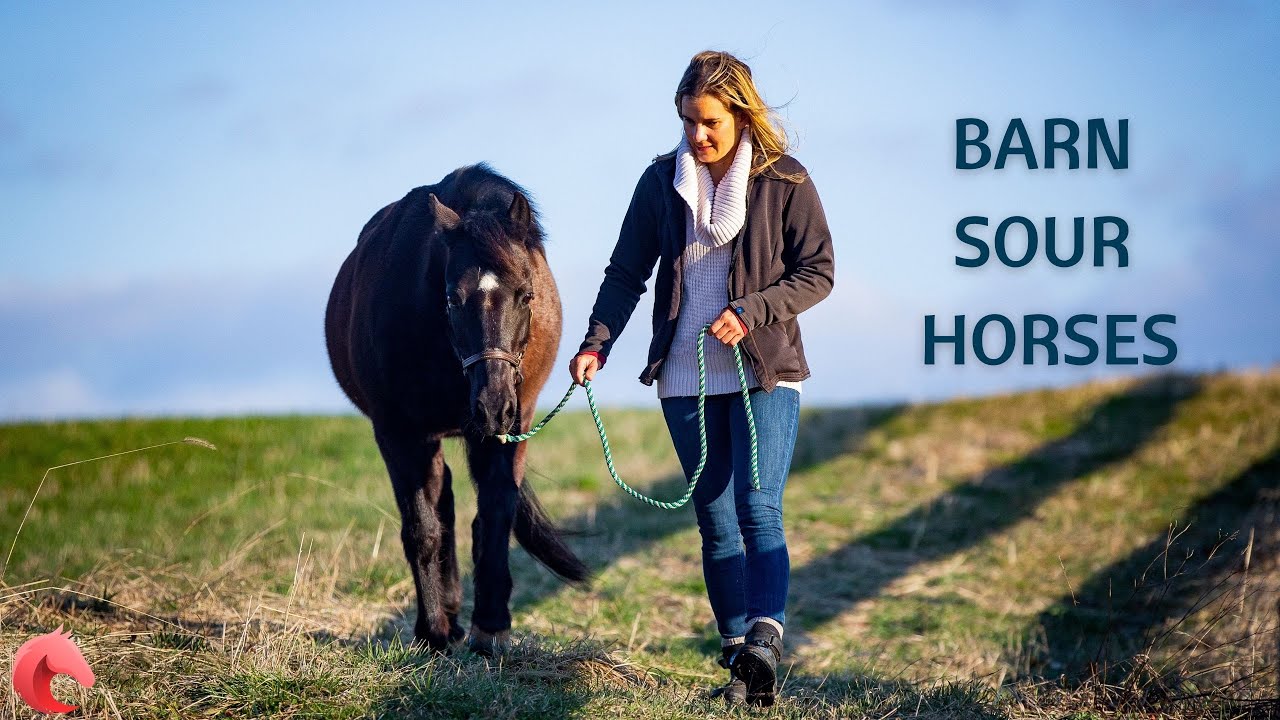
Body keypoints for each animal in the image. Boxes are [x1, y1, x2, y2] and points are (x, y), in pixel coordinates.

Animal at [325, 164, 592, 656]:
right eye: (451, 298)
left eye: (526, 295)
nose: (492, 406)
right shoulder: (397, 432)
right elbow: (421, 527)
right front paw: (433, 632)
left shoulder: (512, 428)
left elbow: (494, 519)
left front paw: (491, 627)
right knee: (439, 501)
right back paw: (445, 614)